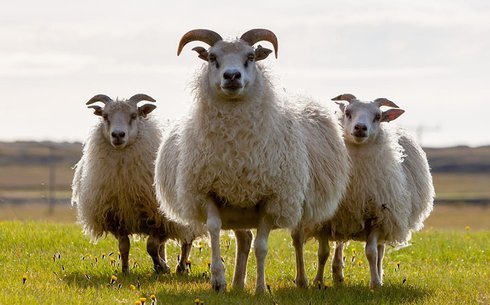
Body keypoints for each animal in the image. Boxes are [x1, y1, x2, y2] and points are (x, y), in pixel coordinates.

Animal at [71, 94, 199, 274]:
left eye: (134, 115)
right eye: (105, 116)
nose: (118, 135)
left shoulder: (160, 219)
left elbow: (151, 247)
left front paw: (162, 266)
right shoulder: (118, 218)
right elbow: (124, 247)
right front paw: (126, 271)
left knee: (186, 241)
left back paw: (180, 268)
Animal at [155, 29, 350, 292]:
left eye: (251, 56)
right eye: (212, 57)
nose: (232, 76)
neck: (236, 145)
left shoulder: (271, 199)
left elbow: (262, 247)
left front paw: (260, 288)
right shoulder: (208, 191)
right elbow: (215, 228)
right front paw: (218, 280)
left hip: (294, 201)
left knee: (296, 239)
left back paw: (301, 280)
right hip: (238, 206)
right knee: (244, 239)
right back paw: (237, 284)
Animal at [308, 94, 434, 288]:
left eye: (378, 116)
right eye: (348, 112)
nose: (360, 128)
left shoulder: (376, 217)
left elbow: (371, 253)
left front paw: (375, 284)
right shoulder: (326, 219)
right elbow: (323, 253)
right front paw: (318, 282)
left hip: (387, 217)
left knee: (380, 252)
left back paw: (377, 275)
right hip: (344, 217)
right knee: (339, 244)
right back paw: (337, 273)